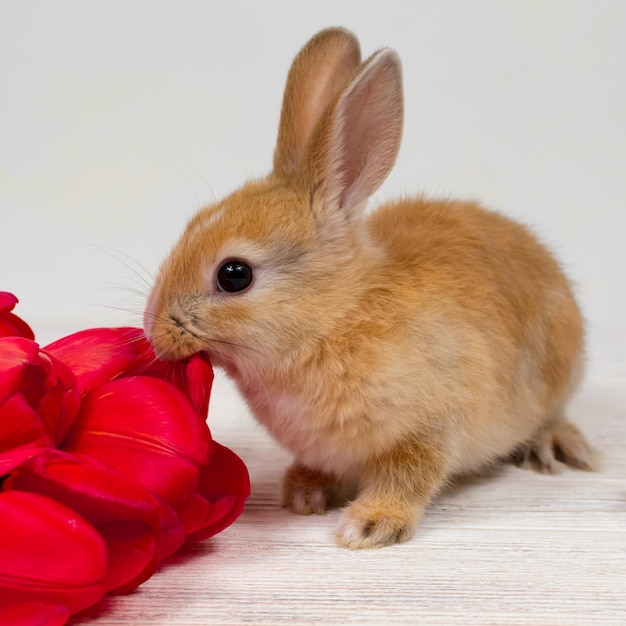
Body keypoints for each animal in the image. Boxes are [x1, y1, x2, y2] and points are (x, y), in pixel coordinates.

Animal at [144, 28, 592, 544]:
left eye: (234, 275)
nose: (153, 331)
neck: (335, 317)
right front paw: (303, 495)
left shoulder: (429, 429)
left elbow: (409, 476)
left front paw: (370, 525)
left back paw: (556, 446)